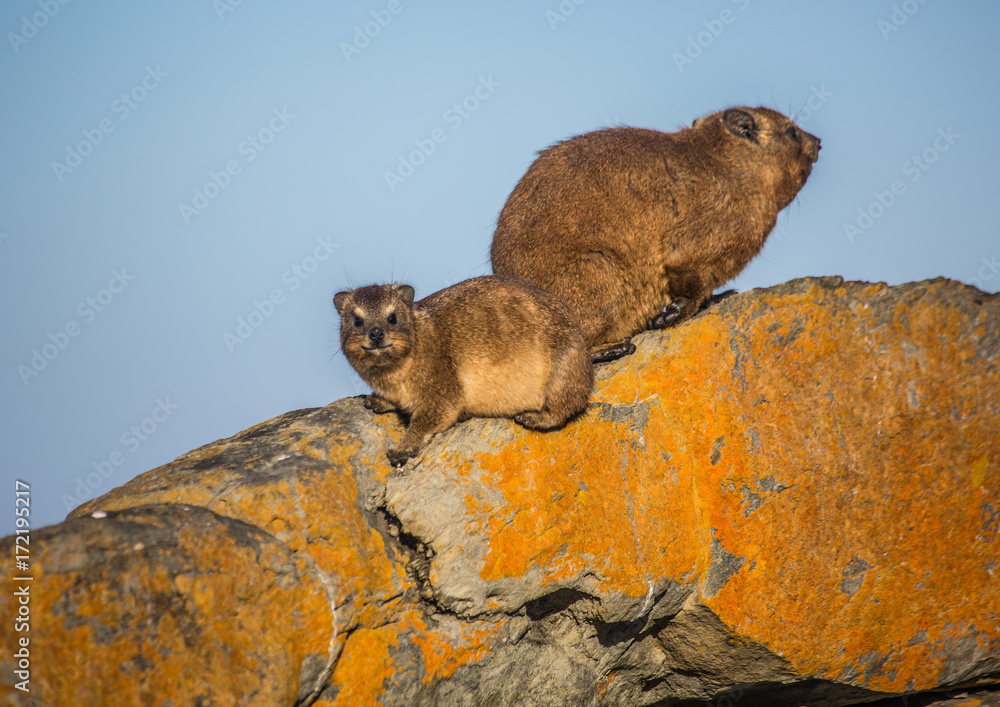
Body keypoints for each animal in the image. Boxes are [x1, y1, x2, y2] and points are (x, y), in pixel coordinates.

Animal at [333, 275, 594, 468]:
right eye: (357, 320)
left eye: (392, 318)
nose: (376, 333)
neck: (391, 376)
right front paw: (376, 401)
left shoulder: (442, 386)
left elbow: (428, 420)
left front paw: (402, 448)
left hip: (566, 366)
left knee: (566, 408)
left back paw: (533, 417)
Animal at [491, 106, 821, 362]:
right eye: (791, 131)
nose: (818, 141)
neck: (729, 168)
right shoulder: (697, 240)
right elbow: (688, 280)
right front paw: (670, 314)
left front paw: (719, 296)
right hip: (598, 271)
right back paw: (613, 349)